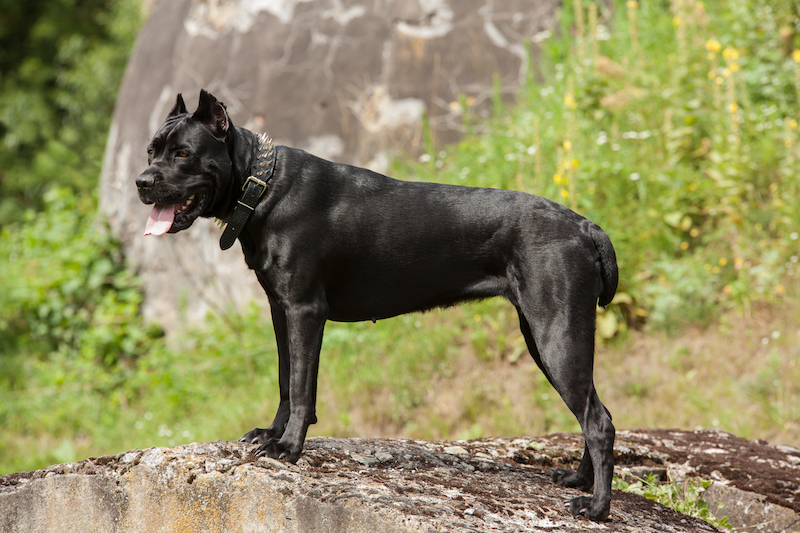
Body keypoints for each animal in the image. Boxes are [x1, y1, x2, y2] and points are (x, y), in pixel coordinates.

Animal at [138, 89, 620, 516]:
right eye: (150, 151)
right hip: (547, 337)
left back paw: (596, 508)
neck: (261, 186)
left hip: (556, 336)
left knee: (597, 421)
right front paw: (270, 433)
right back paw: (579, 480)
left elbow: (302, 387)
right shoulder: (281, 311)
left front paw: (289, 448)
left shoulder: (306, 311)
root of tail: (585, 226)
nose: (142, 182)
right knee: (596, 411)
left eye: (183, 153)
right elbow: (284, 380)